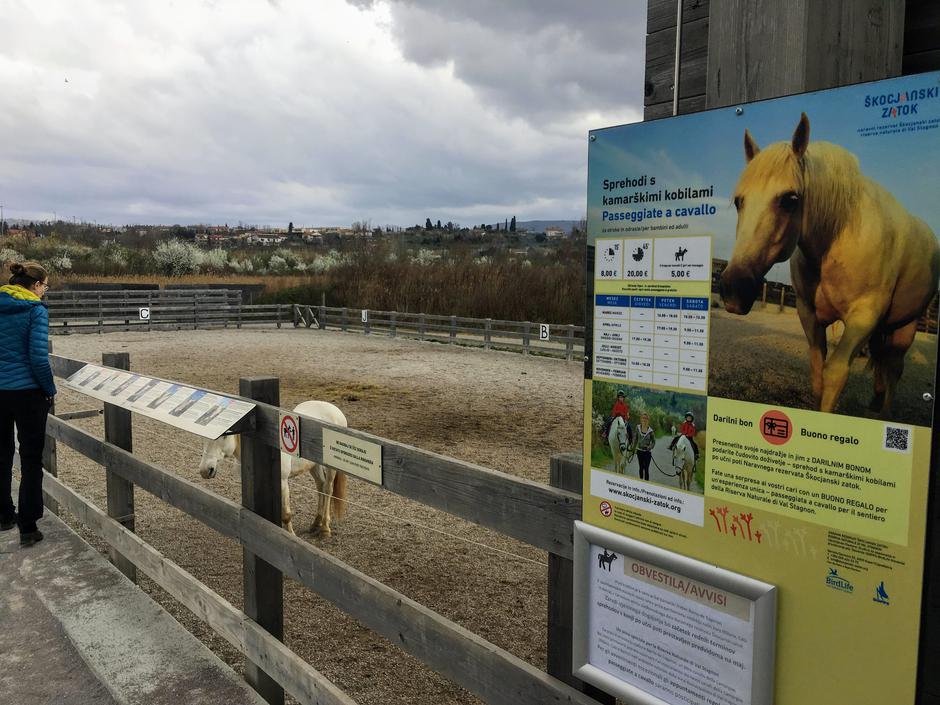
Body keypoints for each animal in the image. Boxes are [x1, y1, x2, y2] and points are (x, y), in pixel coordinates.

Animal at [198, 398, 348, 536]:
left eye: (224, 435)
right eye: (202, 437)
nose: (205, 470)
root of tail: (334, 410)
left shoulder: (282, 482)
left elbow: (286, 515)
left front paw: (290, 536)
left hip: (330, 467)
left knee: (328, 488)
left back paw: (325, 528)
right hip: (313, 464)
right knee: (320, 486)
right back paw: (316, 522)